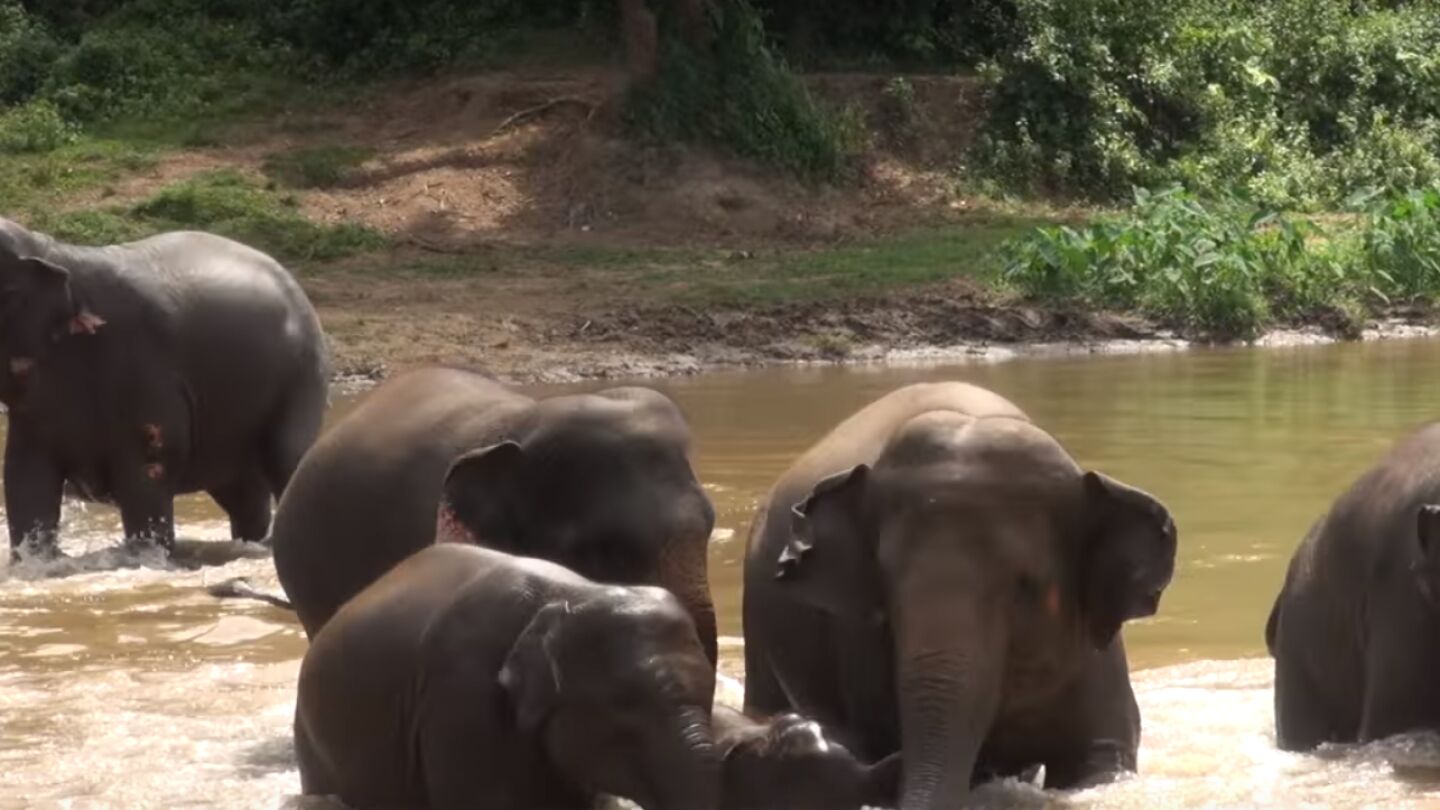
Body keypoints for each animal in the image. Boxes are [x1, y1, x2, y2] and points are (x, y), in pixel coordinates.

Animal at [0, 218, 327, 560]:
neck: (52, 250)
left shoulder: (145, 373)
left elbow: (149, 472)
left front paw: (148, 559)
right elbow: (24, 479)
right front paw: (35, 562)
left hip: (302, 378)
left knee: (287, 460)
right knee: (244, 496)